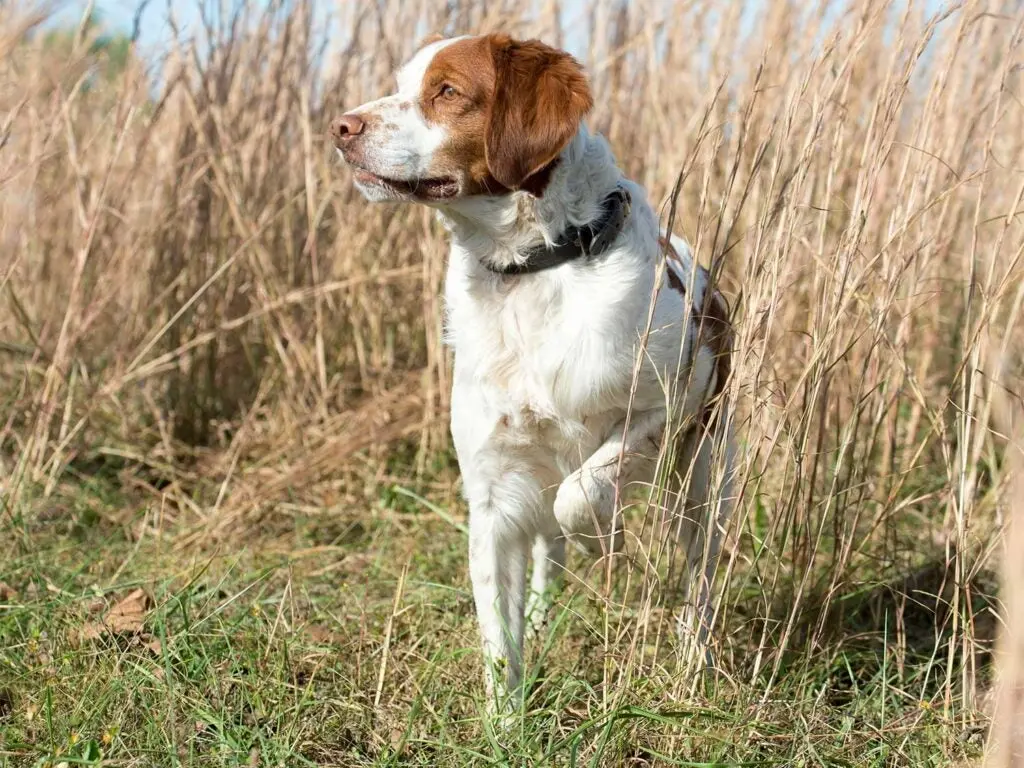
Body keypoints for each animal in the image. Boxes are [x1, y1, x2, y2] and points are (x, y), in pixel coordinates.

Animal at [331, 34, 741, 708]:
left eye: (447, 91)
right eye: (402, 83)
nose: (341, 127)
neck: (532, 268)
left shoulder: (669, 400)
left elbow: (585, 489)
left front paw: (606, 533)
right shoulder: (494, 493)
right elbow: (500, 634)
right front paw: (506, 720)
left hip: (708, 475)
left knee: (698, 579)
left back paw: (692, 662)